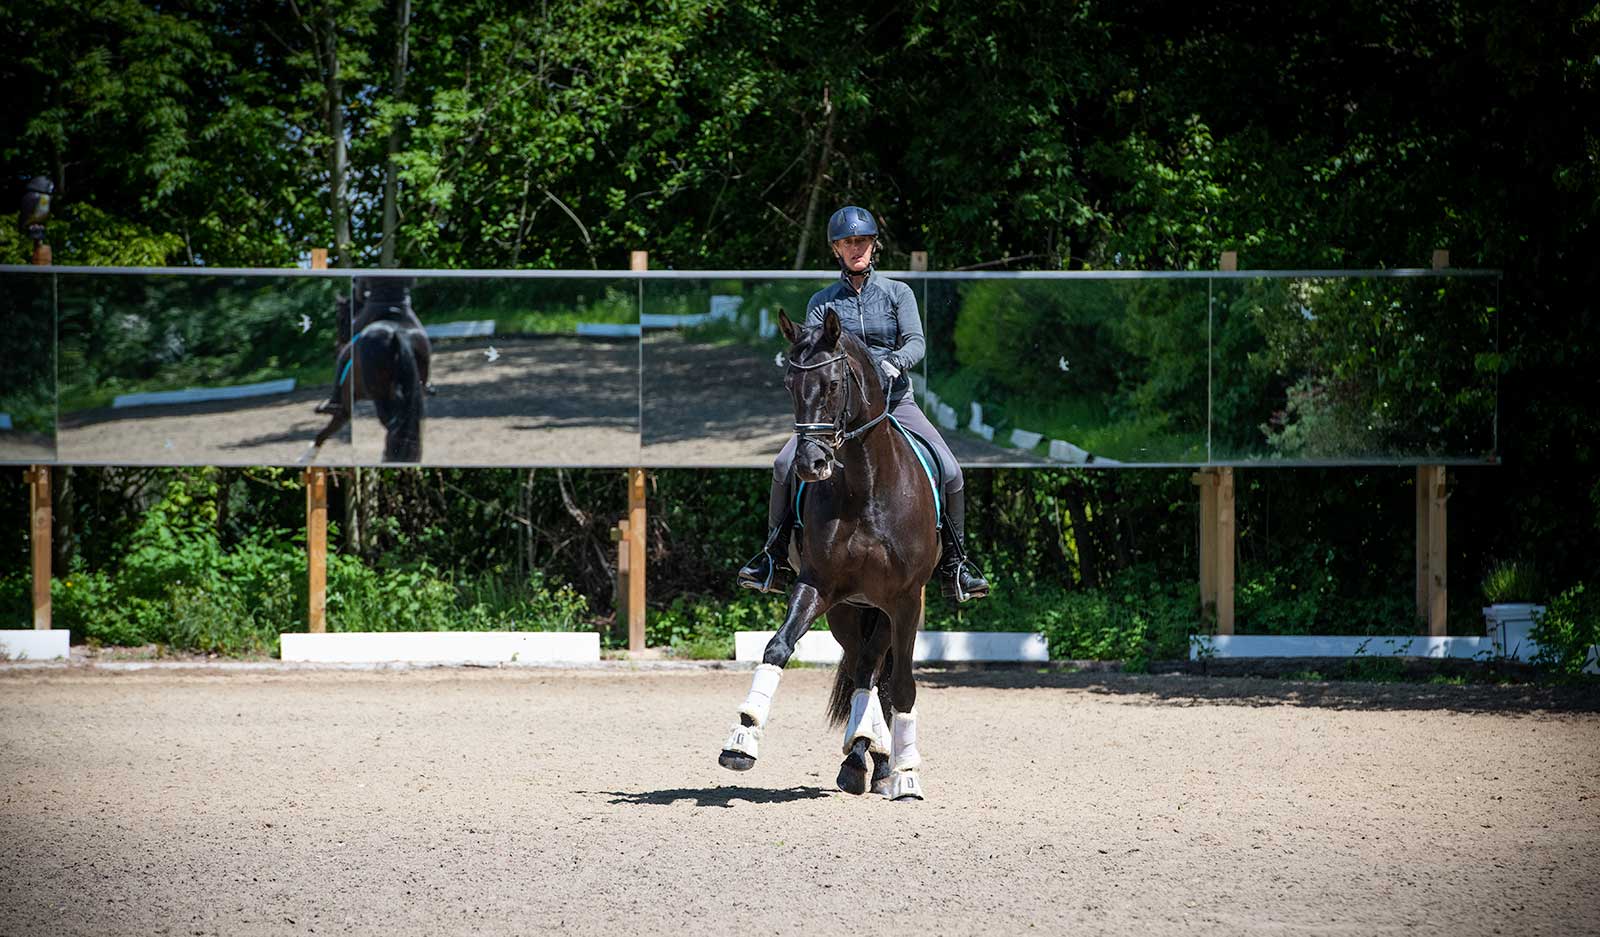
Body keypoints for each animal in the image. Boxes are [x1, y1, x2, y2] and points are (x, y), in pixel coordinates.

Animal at [304, 283, 432, 460]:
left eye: (340, 318)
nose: (337, 347)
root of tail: (397, 332)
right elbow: (325, 433)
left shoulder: (345, 408)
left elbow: (324, 432)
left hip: (381, 397)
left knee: (394, 426)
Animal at [720, 308, 940, 802]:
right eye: (789, 384)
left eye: (835, 384)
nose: (811, 464)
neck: (866, 485)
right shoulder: (817, 585)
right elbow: (777, 648)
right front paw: (741, 740)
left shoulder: (905, 600)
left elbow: (903, 685)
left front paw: (908, 775)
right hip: (847, 611)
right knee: (863, 669)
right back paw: (862, 757)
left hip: (887, 609)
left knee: (875, 670)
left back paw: (881, 762)